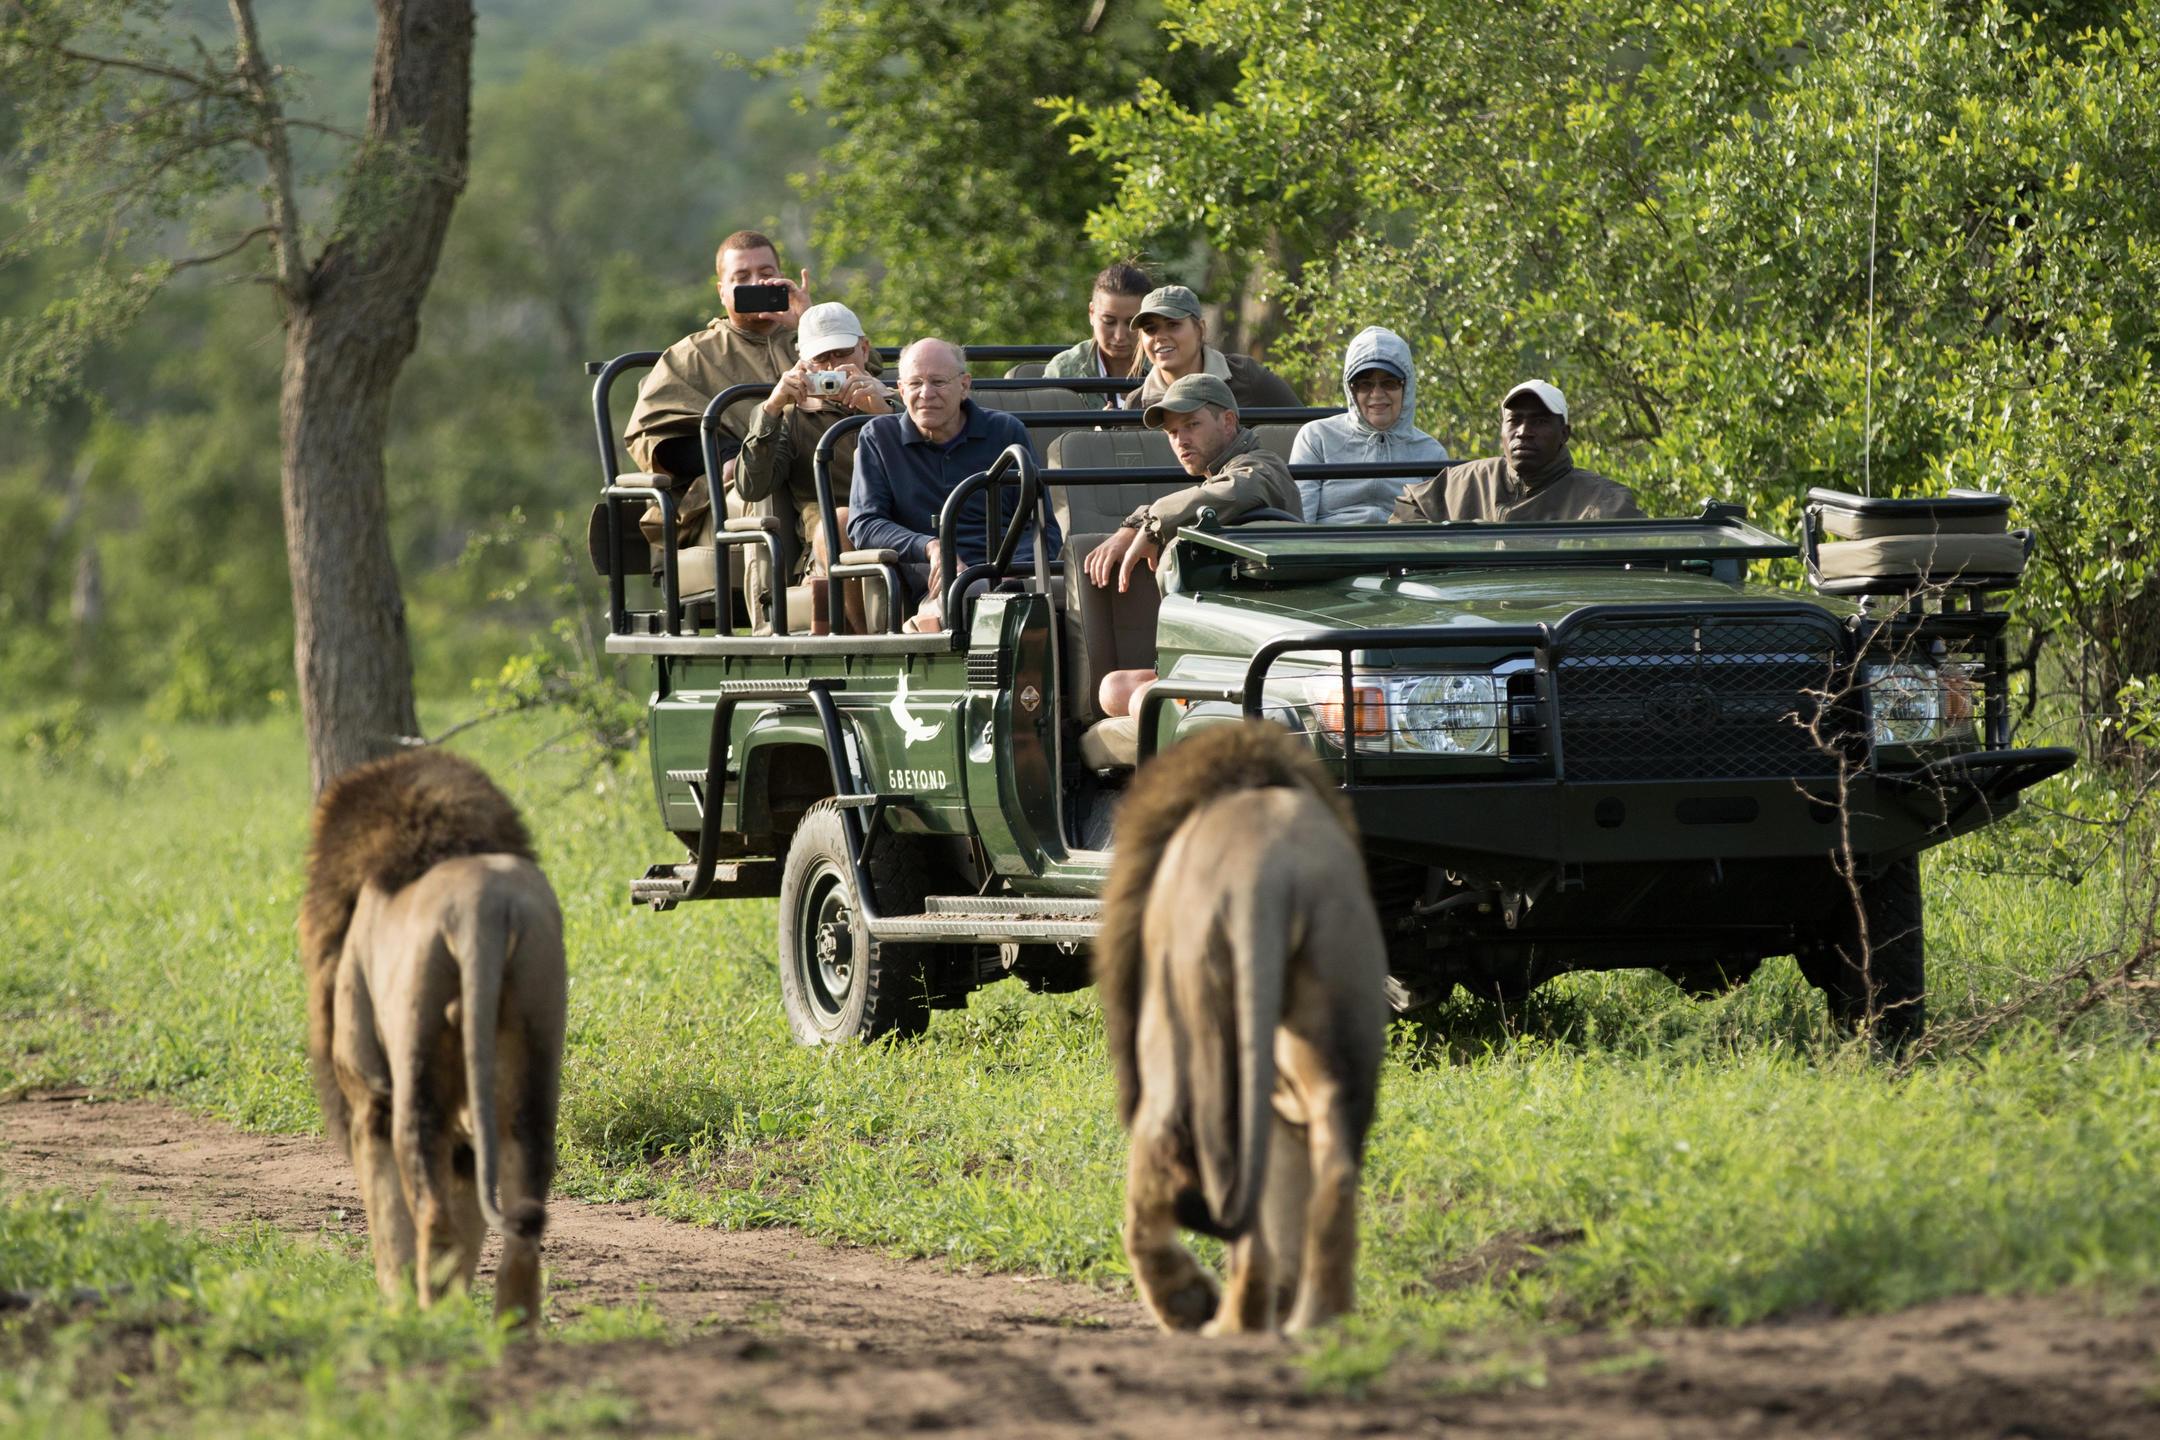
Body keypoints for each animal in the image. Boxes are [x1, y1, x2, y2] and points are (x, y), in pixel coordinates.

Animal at [298, 748, 566, 1324]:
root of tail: (483, 906)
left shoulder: (368, 1094)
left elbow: (387, 1221)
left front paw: (395, 1304)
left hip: (414, 1076)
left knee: (433, 1216)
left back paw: (433, 1323)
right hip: (533, 1053)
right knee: (522, 1227)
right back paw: (506, 1332)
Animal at [1095, 719, 1388, 1335]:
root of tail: (1268, 868)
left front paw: (1183, 1299)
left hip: (1200, 1032)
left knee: (1217, 1192)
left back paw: (1224, 1319)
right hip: (1336, 1008)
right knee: (1333, 1172)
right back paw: (1316, 1319)